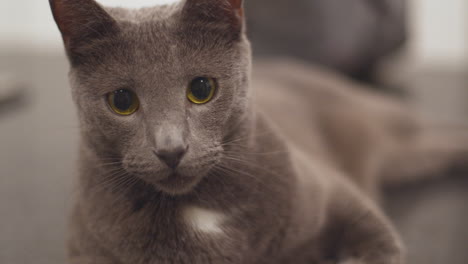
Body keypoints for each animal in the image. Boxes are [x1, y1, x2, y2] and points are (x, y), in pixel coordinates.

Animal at [49, 0, 466, 264]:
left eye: (202, 89)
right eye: (122, 100)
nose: (171, 149)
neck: (197, 209)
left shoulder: (339, 194)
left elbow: (377, 241)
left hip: (386, 121)